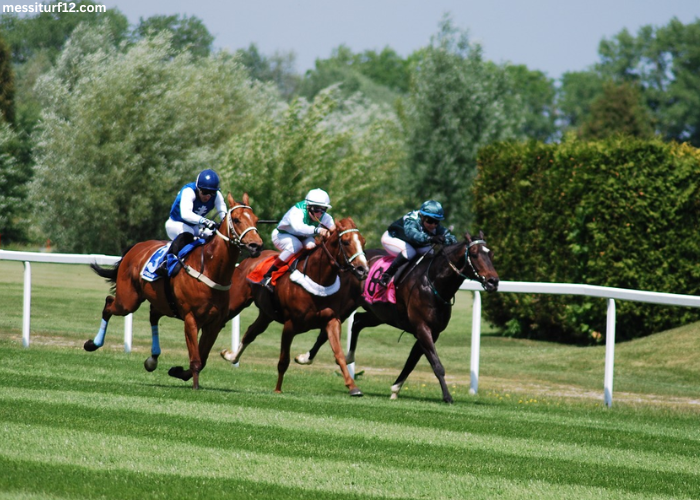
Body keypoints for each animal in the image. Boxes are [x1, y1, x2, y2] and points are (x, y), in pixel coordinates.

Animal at [84, 192, 262, 390]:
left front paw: (179, 372)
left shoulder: (214, 323)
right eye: (237, 220)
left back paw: (152, 358)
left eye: (255, 219)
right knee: (109, 303)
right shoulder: (191, 319)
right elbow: (196, 359)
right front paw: (195, 386)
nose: (256, 245)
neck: (210, 268)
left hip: (161, 302)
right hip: (128, 301)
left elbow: (203, 357)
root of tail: (136, 248)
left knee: (153, 315)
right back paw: (93, 343)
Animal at [219, 217, 372, 396]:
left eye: (363, 241)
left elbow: (338, 353)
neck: (318, 279)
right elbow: (283, 360)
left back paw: (231, 356)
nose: (363, 270)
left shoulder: (332, 320)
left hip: (266, 314)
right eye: (346, 242)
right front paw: (278, 389)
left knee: (251, 332)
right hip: (235, 303)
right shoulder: (290, 325)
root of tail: (248, 259)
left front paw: (353, 387)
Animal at [296, 232, 498, 404]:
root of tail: (350, 263)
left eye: (490, 253)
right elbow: (436, 364)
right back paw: (306, 357)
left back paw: (348, 356)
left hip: (378, 314)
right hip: (346, 305)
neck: (433, 282)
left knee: (358, 321)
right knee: (327, 330)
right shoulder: (422, 328)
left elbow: (411, 362)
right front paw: (447, 397)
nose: (493, 281)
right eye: (474, 254)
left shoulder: (431, 332)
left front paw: (395, 389)